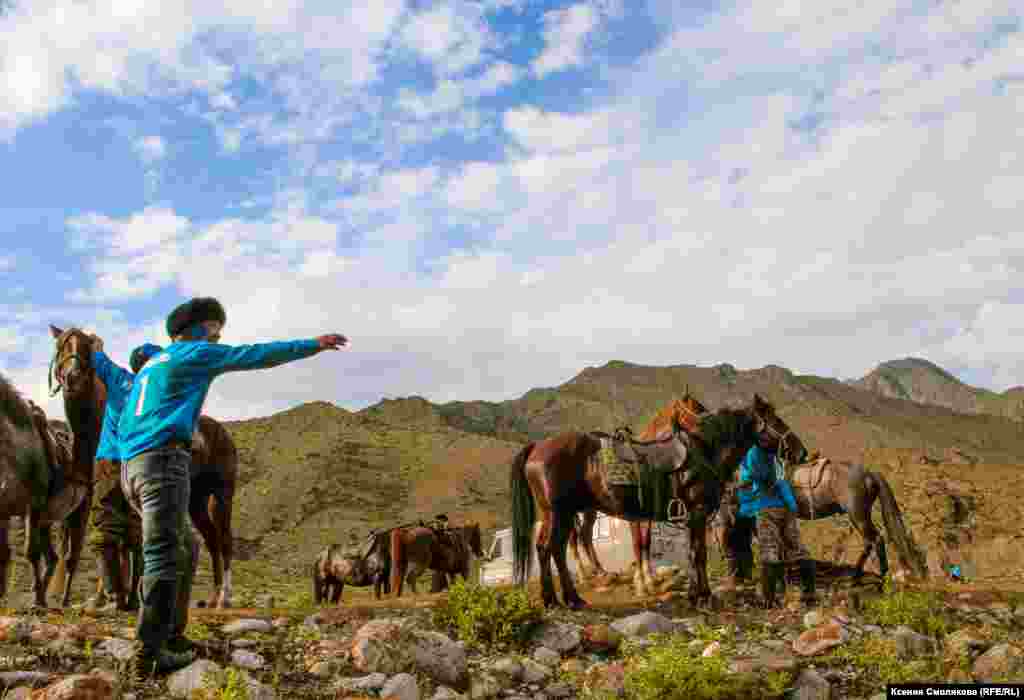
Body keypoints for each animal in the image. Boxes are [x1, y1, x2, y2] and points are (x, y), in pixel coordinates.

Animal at [0, 372, 91, 605]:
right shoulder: (5, 512)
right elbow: (5, 553)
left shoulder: (33, 507)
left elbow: (30, 553)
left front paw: (38, 601)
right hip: (46, 521)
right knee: (53, 558)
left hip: (77, 514)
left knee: (71, 559)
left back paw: (62, 600)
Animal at [48, 327, 240, 605]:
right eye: (61, 346)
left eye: (85, 347)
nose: (72, 377)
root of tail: (223, 432)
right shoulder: (90, 494)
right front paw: (99, 596)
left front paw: (118, 595)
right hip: (196, 499)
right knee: (212, 540)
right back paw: (213, 598)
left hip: (222, 494)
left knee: (224, 540)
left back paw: (224, 596)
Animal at [512, 392, 806, 605]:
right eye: (776, 420)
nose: (801, 452)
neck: (705, 451)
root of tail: (538, 447)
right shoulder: (697, 513)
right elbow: (698, 553)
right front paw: (704, 596)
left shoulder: (686, 517)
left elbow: (689, 552)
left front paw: (693, 594)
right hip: (559, 513)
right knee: (551, 548)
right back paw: (561, 598)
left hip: (559, 514)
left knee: (553, 549)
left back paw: (565, 598)